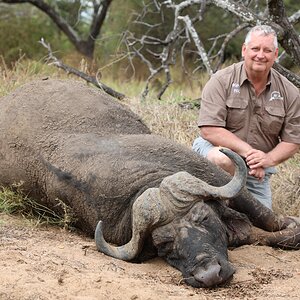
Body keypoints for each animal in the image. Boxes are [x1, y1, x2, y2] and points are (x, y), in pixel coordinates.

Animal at [0, 78, 298, 288]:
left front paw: (287, 223)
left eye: (203, 218)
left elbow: (267, 217)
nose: (209, 274)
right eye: (164, 244)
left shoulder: (212, 175)